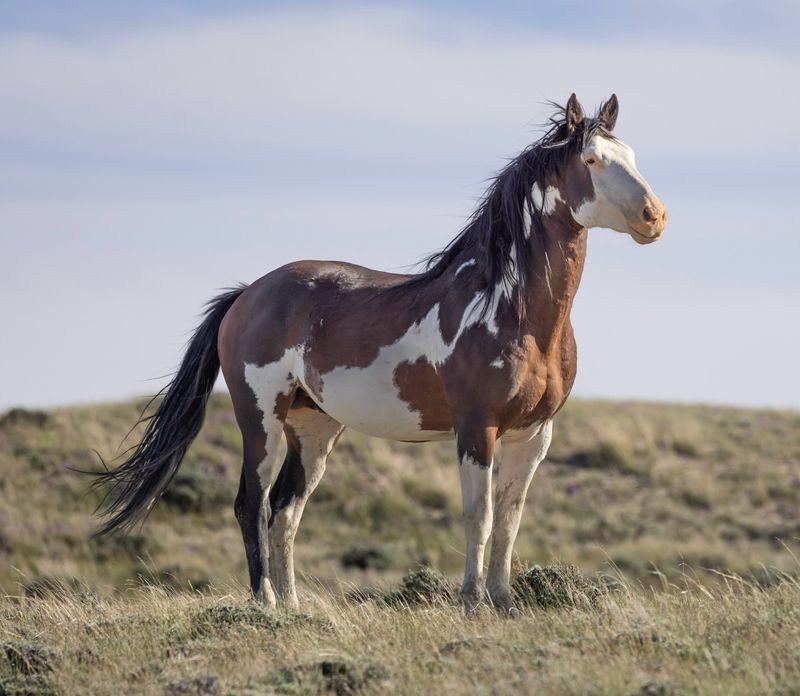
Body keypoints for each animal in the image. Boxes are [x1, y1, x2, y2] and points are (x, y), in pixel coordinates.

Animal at [92, 94, 668, 616]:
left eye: (631, 154)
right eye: (591, 160)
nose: (654, 216)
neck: (510, 307)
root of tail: (246, 294)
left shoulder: (533, 433)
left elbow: (509, 519)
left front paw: (504, 602)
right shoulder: (476, 428)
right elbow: (478, 517)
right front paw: (473, 602)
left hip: (314, 428)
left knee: (285, 511)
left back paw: (294, 607)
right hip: (260, 420)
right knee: (250, 505)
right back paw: (264, 604)